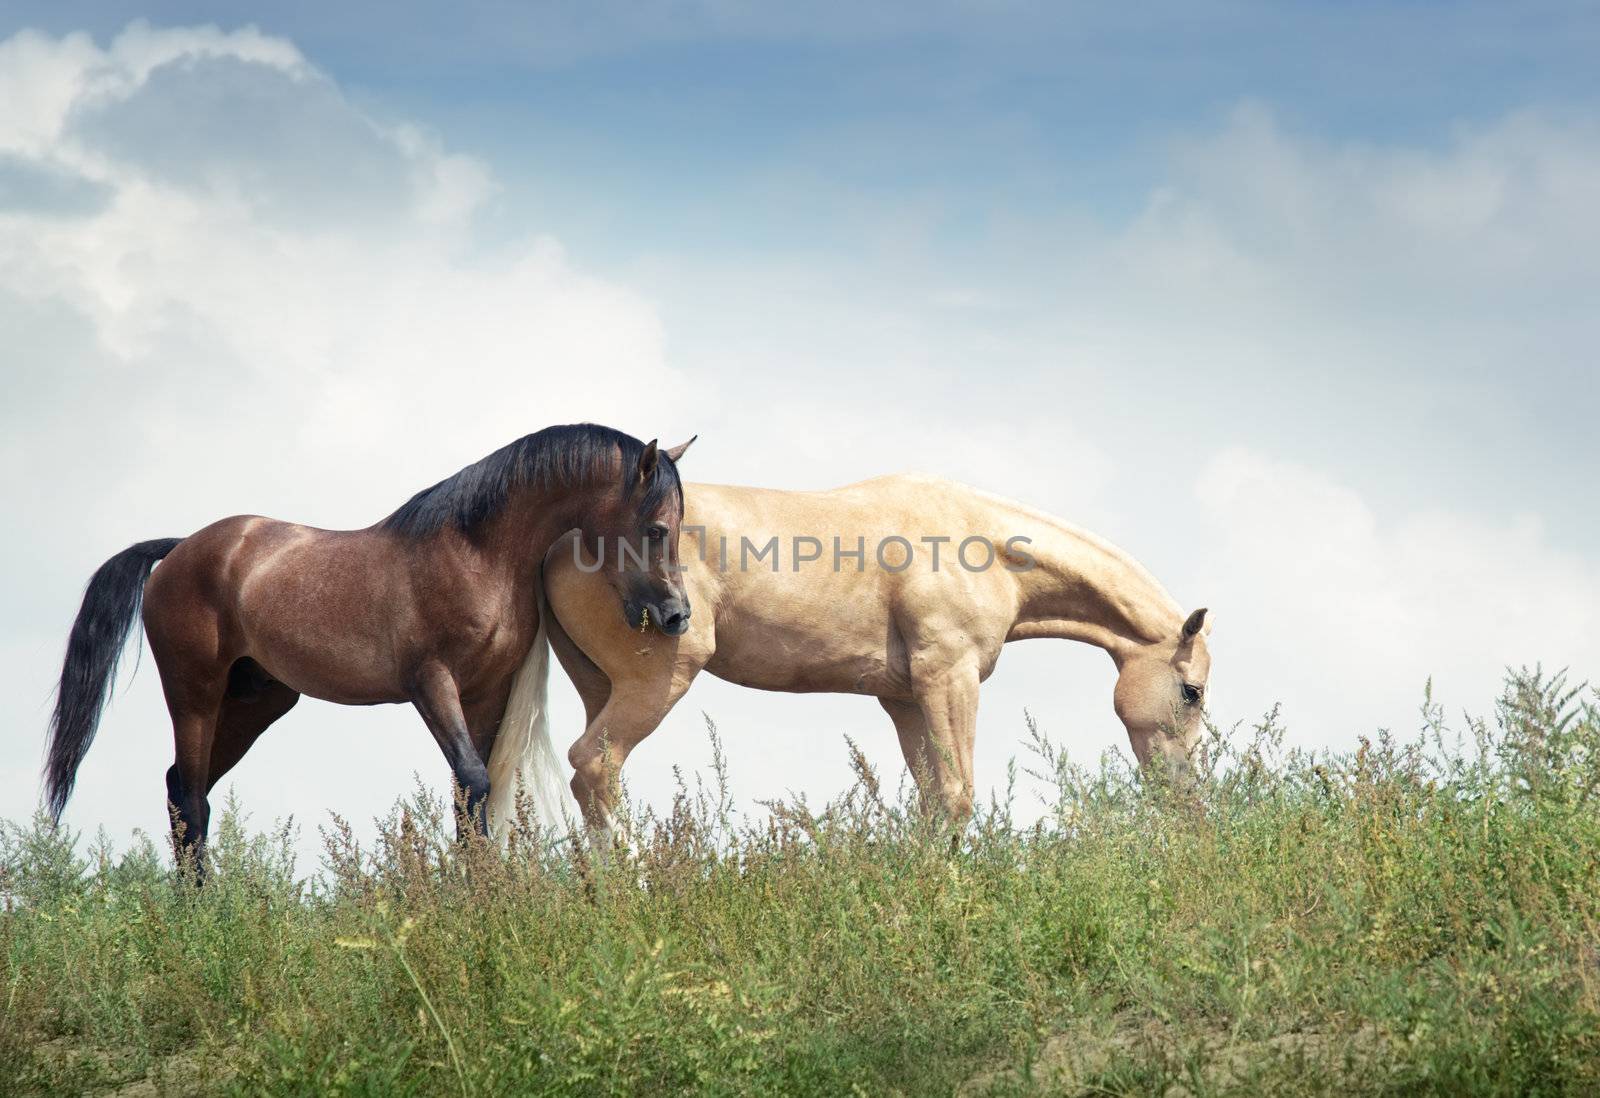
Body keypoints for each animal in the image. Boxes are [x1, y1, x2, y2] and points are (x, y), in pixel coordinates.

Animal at [43, 422, 691, 857]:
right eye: (658, 528)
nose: (677, 615)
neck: (477, 554)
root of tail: (177, 551)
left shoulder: (487, 692)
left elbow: (471, 790)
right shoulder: (432, 684)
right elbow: (474, 780)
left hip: (257, 701)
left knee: (184, 786)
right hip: (194, 694)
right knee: (191, 796)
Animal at [499, 473, 1209, 832]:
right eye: (1192, 691)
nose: (1183, 792)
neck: (981, 544)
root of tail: (564, 539)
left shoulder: (905, 700)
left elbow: (933, 800)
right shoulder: (950, 680)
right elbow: (958, 796)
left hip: (601, 687)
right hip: (657, 684)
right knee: (595, 766)